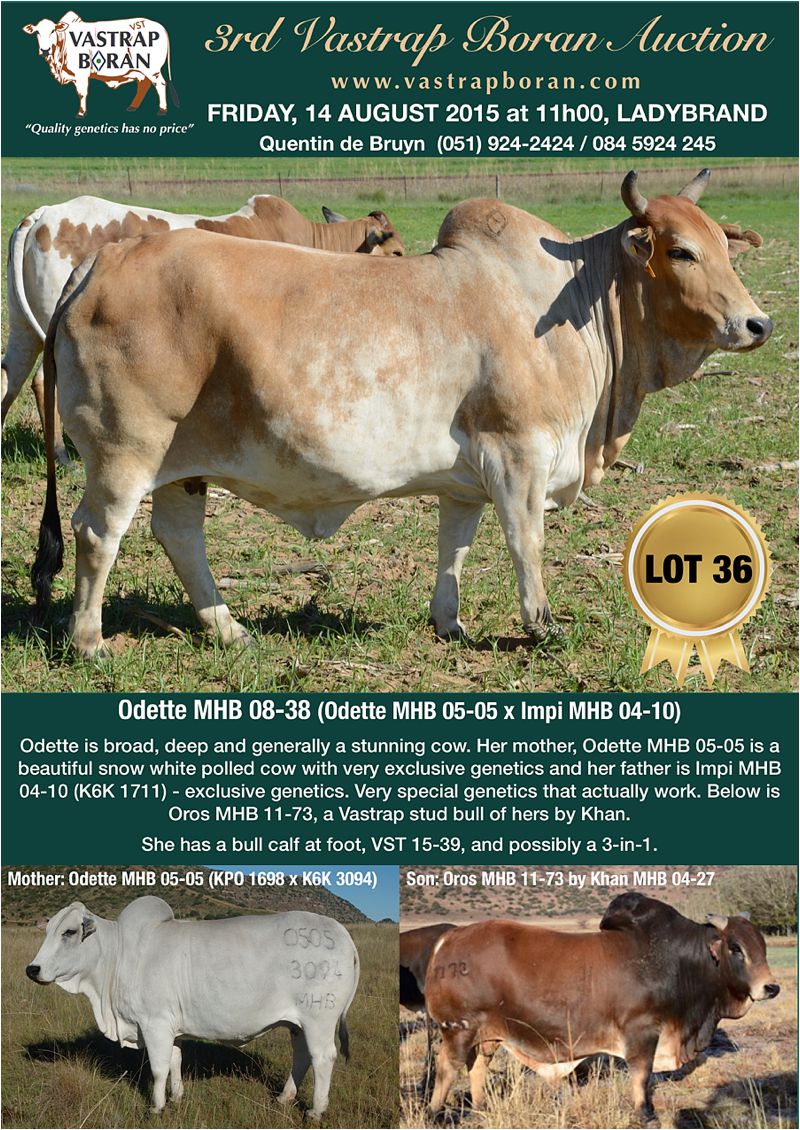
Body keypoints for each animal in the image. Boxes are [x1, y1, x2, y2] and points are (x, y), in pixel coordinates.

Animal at [2, 194, 403, 463]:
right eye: (396, 251)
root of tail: (42, 215)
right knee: (43, 381)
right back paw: (62, 455)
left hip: (24, 328)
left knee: (10, 377)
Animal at [23, 11, 178, 118]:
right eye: (37, 32)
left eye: (53, 30)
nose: (44, 50)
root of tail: (161, 27)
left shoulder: (81, 74)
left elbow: (82, 93)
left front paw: (81, 113)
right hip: (141, 70)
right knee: (144, 85)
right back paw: (133, 107)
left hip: (152, 69)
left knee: (160, 84)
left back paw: (162, 110)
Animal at [25, 896, 360, 1118]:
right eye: (47, 931)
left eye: (69, 932)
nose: (33, 969)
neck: (117, 957)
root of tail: (342, 933)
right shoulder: (170, 1028)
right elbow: (175, 1060)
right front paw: (176, 1097)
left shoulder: (155, 1023)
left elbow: (159, 1068)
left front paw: (156, 1107)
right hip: (297, 1024)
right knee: (302, 1056)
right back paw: (284, 1098)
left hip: (319, 1018)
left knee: (323, 1058)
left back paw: (315, 1111)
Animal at [424, 893, 780, 1125]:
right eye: (735, 947)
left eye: (762, 945)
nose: (771, 988)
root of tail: (450, 937)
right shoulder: (641, 1031)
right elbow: (641, 1074)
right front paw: (644, 1113)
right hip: (458, 1029)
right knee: (447, 1067)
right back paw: (434, 1113)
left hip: (488, 1034)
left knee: (477, 1067)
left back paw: (480, 1109)